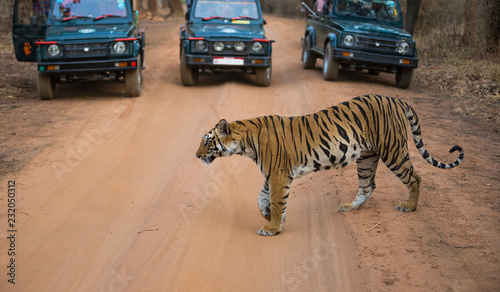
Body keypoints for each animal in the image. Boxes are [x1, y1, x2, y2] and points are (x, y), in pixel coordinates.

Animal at [195, 94, 464, 236]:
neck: (246, 142)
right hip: (367, 157)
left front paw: (272, 227)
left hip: (393, 150)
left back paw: (409, 206)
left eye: (207, 141)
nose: (196, 156)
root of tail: (395, 98)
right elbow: (261, 197)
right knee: (368, 185)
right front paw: (268, 215)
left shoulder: (279, 176)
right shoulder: (272, 175)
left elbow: (276, 200)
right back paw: (350, 207)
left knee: (415, 177)